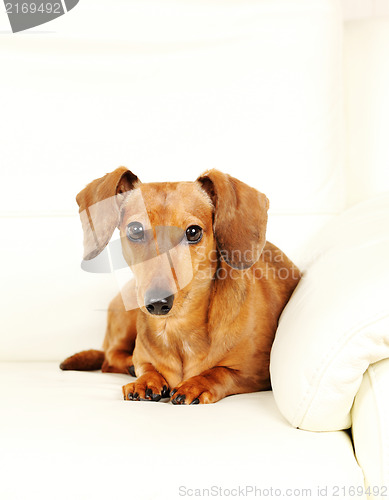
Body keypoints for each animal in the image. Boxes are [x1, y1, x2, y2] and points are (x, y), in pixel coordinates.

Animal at [59, 166, 300, 404]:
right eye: (135, 230)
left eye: (193, 232)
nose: (158, 302)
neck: (175, 326)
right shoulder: (143, 357)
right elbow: (145, 366)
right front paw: (145, 380)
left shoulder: (258, 373)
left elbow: (220, 371)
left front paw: (196, 384)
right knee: (110, 358)